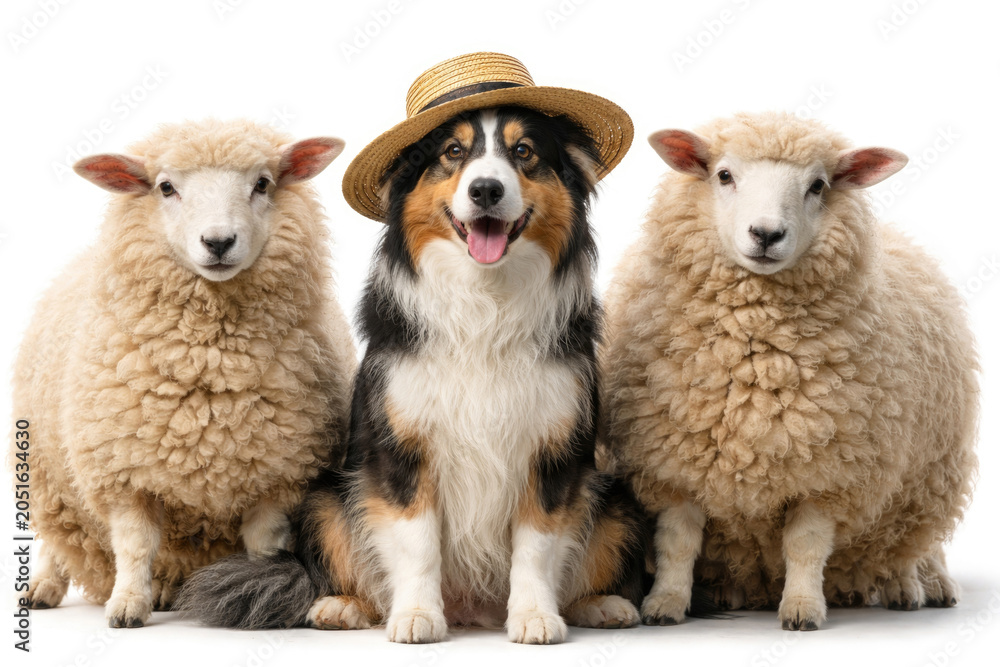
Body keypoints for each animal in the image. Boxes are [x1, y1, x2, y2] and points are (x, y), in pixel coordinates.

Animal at [12, 119, 356, 628]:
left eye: (262, 183)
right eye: (166, 187)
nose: (218, 242)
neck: (210, 366)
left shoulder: (278, 478)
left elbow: (264, 549)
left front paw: (259, 588)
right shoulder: (123, 475)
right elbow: (135, 547)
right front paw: (127, 605)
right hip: (48, 475)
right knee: (57, 541)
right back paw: (44, 587)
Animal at [600, 112, 978, 631]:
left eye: (817, 185)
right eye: (724, 175)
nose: (765, 234)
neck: (756, 360)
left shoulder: (827, 472)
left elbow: (805, 546)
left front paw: (802, 608)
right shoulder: (676, 463)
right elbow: (677, 543)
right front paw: (665, 603)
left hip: (927, 480)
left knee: (910, 545)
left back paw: (916, 584)